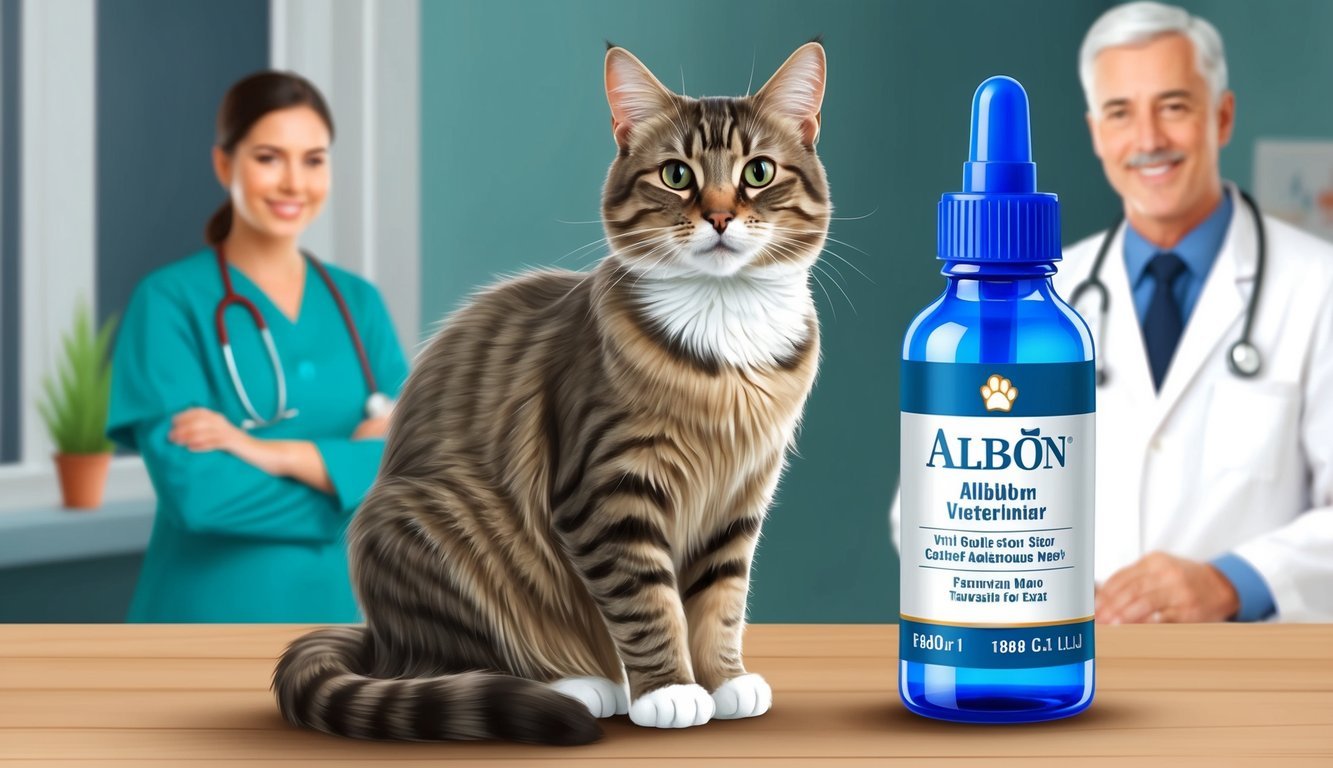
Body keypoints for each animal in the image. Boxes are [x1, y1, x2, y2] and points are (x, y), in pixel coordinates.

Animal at [271, 40, 826, 746]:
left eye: (758, 172)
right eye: (677, 175)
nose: (722, 216)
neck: (725, 338)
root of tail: (376, 638)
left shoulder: (741, 496)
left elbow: (720, 600)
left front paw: (725, 680)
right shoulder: (609, 491)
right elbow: (649, 603)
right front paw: (670, 689)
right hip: (432, 527)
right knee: (445, 663)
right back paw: (578, 685)